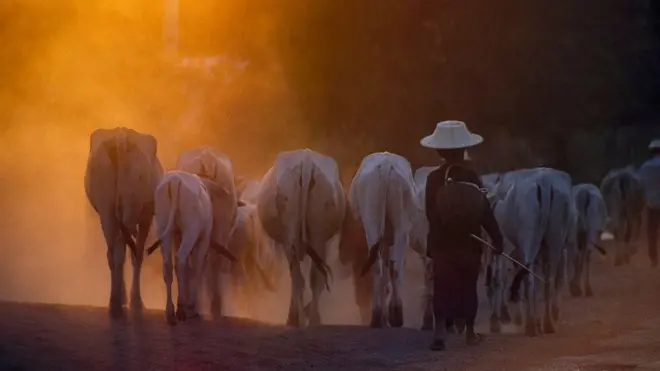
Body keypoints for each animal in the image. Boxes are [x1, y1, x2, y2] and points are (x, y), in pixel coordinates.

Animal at [84, 127, 163, 316]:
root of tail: (121, 138)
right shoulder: (146, 217)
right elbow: (137, 256)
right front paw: (134, 300)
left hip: (107, 210)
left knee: (114, 254)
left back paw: (114, 302)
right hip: (127, 212)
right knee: (127, 253)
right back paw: (126, 301)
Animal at [151, 171, 231, 326]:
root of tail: (175, 181)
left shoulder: (178, 235)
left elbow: (188, 269)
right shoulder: (204, 238)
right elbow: (198, 267)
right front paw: (192, 307)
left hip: (163, 225)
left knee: (169, 264)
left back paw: (170, 312)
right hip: (191, 230)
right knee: (180, 258)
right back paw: (182, 310)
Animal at [255, 150, 346, 326]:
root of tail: (307, 162)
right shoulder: (326, 242)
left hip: (290, 237)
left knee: (299, 278)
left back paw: (296, 318)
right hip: (318, 236)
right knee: (315, 277)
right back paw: (313, 319)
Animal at [346, 153, 418, 328]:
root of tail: (385, 164)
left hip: (373, 224)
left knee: (380, 267)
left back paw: (380, 316)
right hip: (400, 227)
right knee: (391, 267)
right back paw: (392, 315)